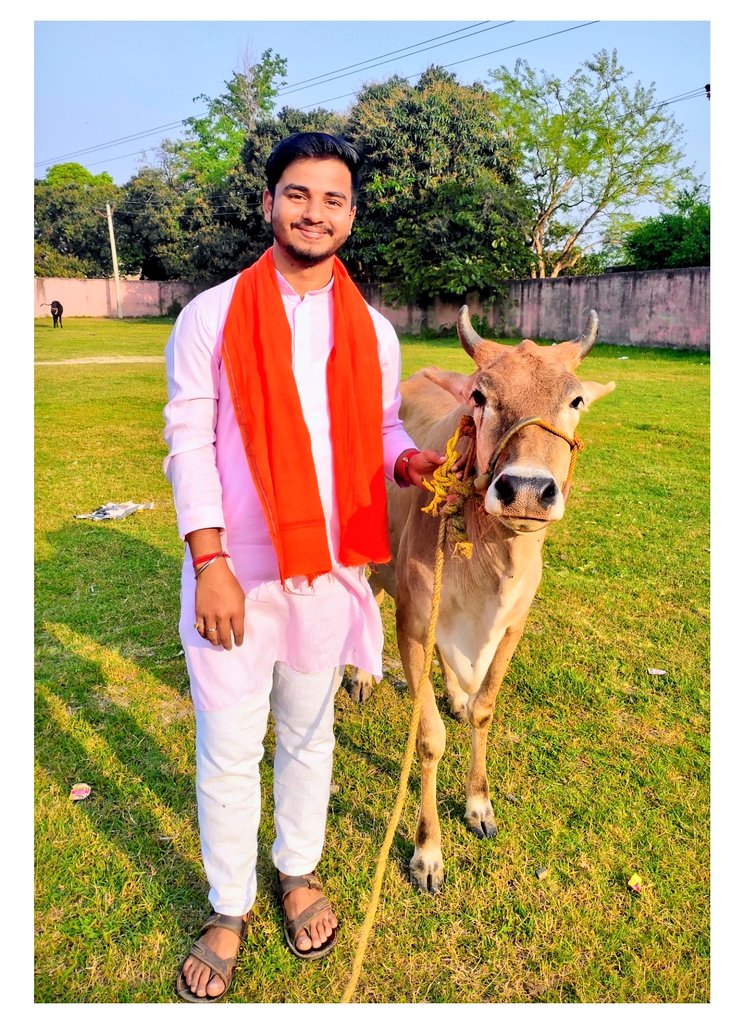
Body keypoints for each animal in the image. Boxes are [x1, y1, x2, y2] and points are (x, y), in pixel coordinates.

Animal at [351, 307, 615, 893]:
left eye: (575, 400)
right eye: (479, 395)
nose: (526, 491)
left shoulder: (513, 625)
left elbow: (484, 711)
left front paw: (478, 804)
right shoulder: (413, 622)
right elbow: (429, 739)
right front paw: (427, 852)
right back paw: (358, 677)